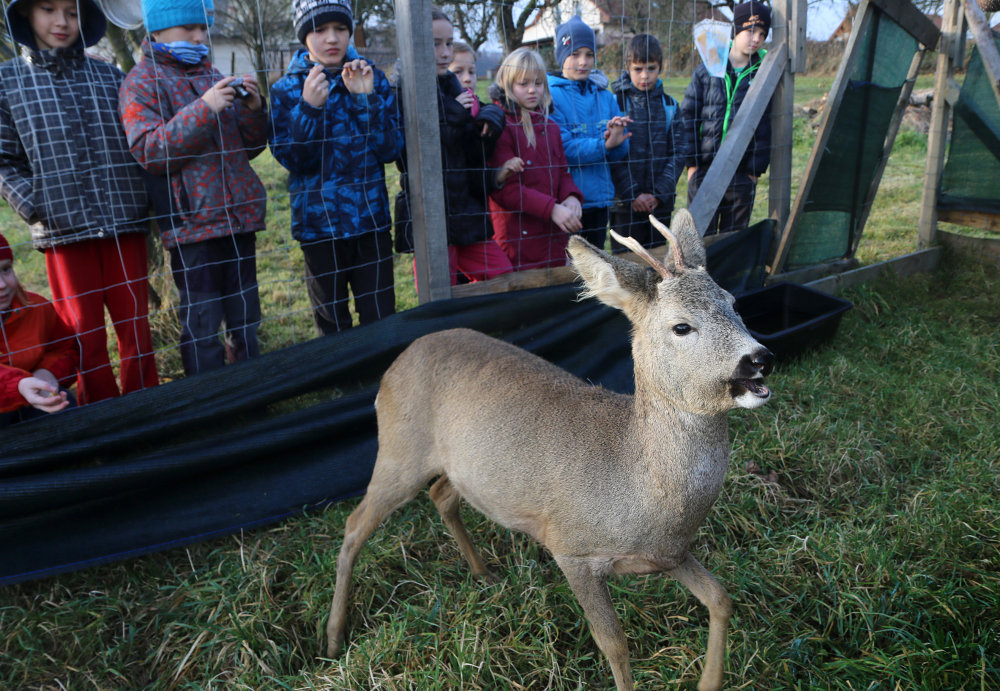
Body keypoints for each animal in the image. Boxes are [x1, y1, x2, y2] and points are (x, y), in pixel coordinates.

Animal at [324, 209, 774, 691]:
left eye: (733, 303)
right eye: (682, 326)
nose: (759, 358)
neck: (641, 490)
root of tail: (398, 361)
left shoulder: (670, 553)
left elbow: (721, 597)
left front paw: (709, 682)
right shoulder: (570, 548)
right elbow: (614, 642)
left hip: (457, 466)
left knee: (442, 495)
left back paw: (484, 573)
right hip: (398, 449)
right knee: (355, 524)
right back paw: (333, 639)